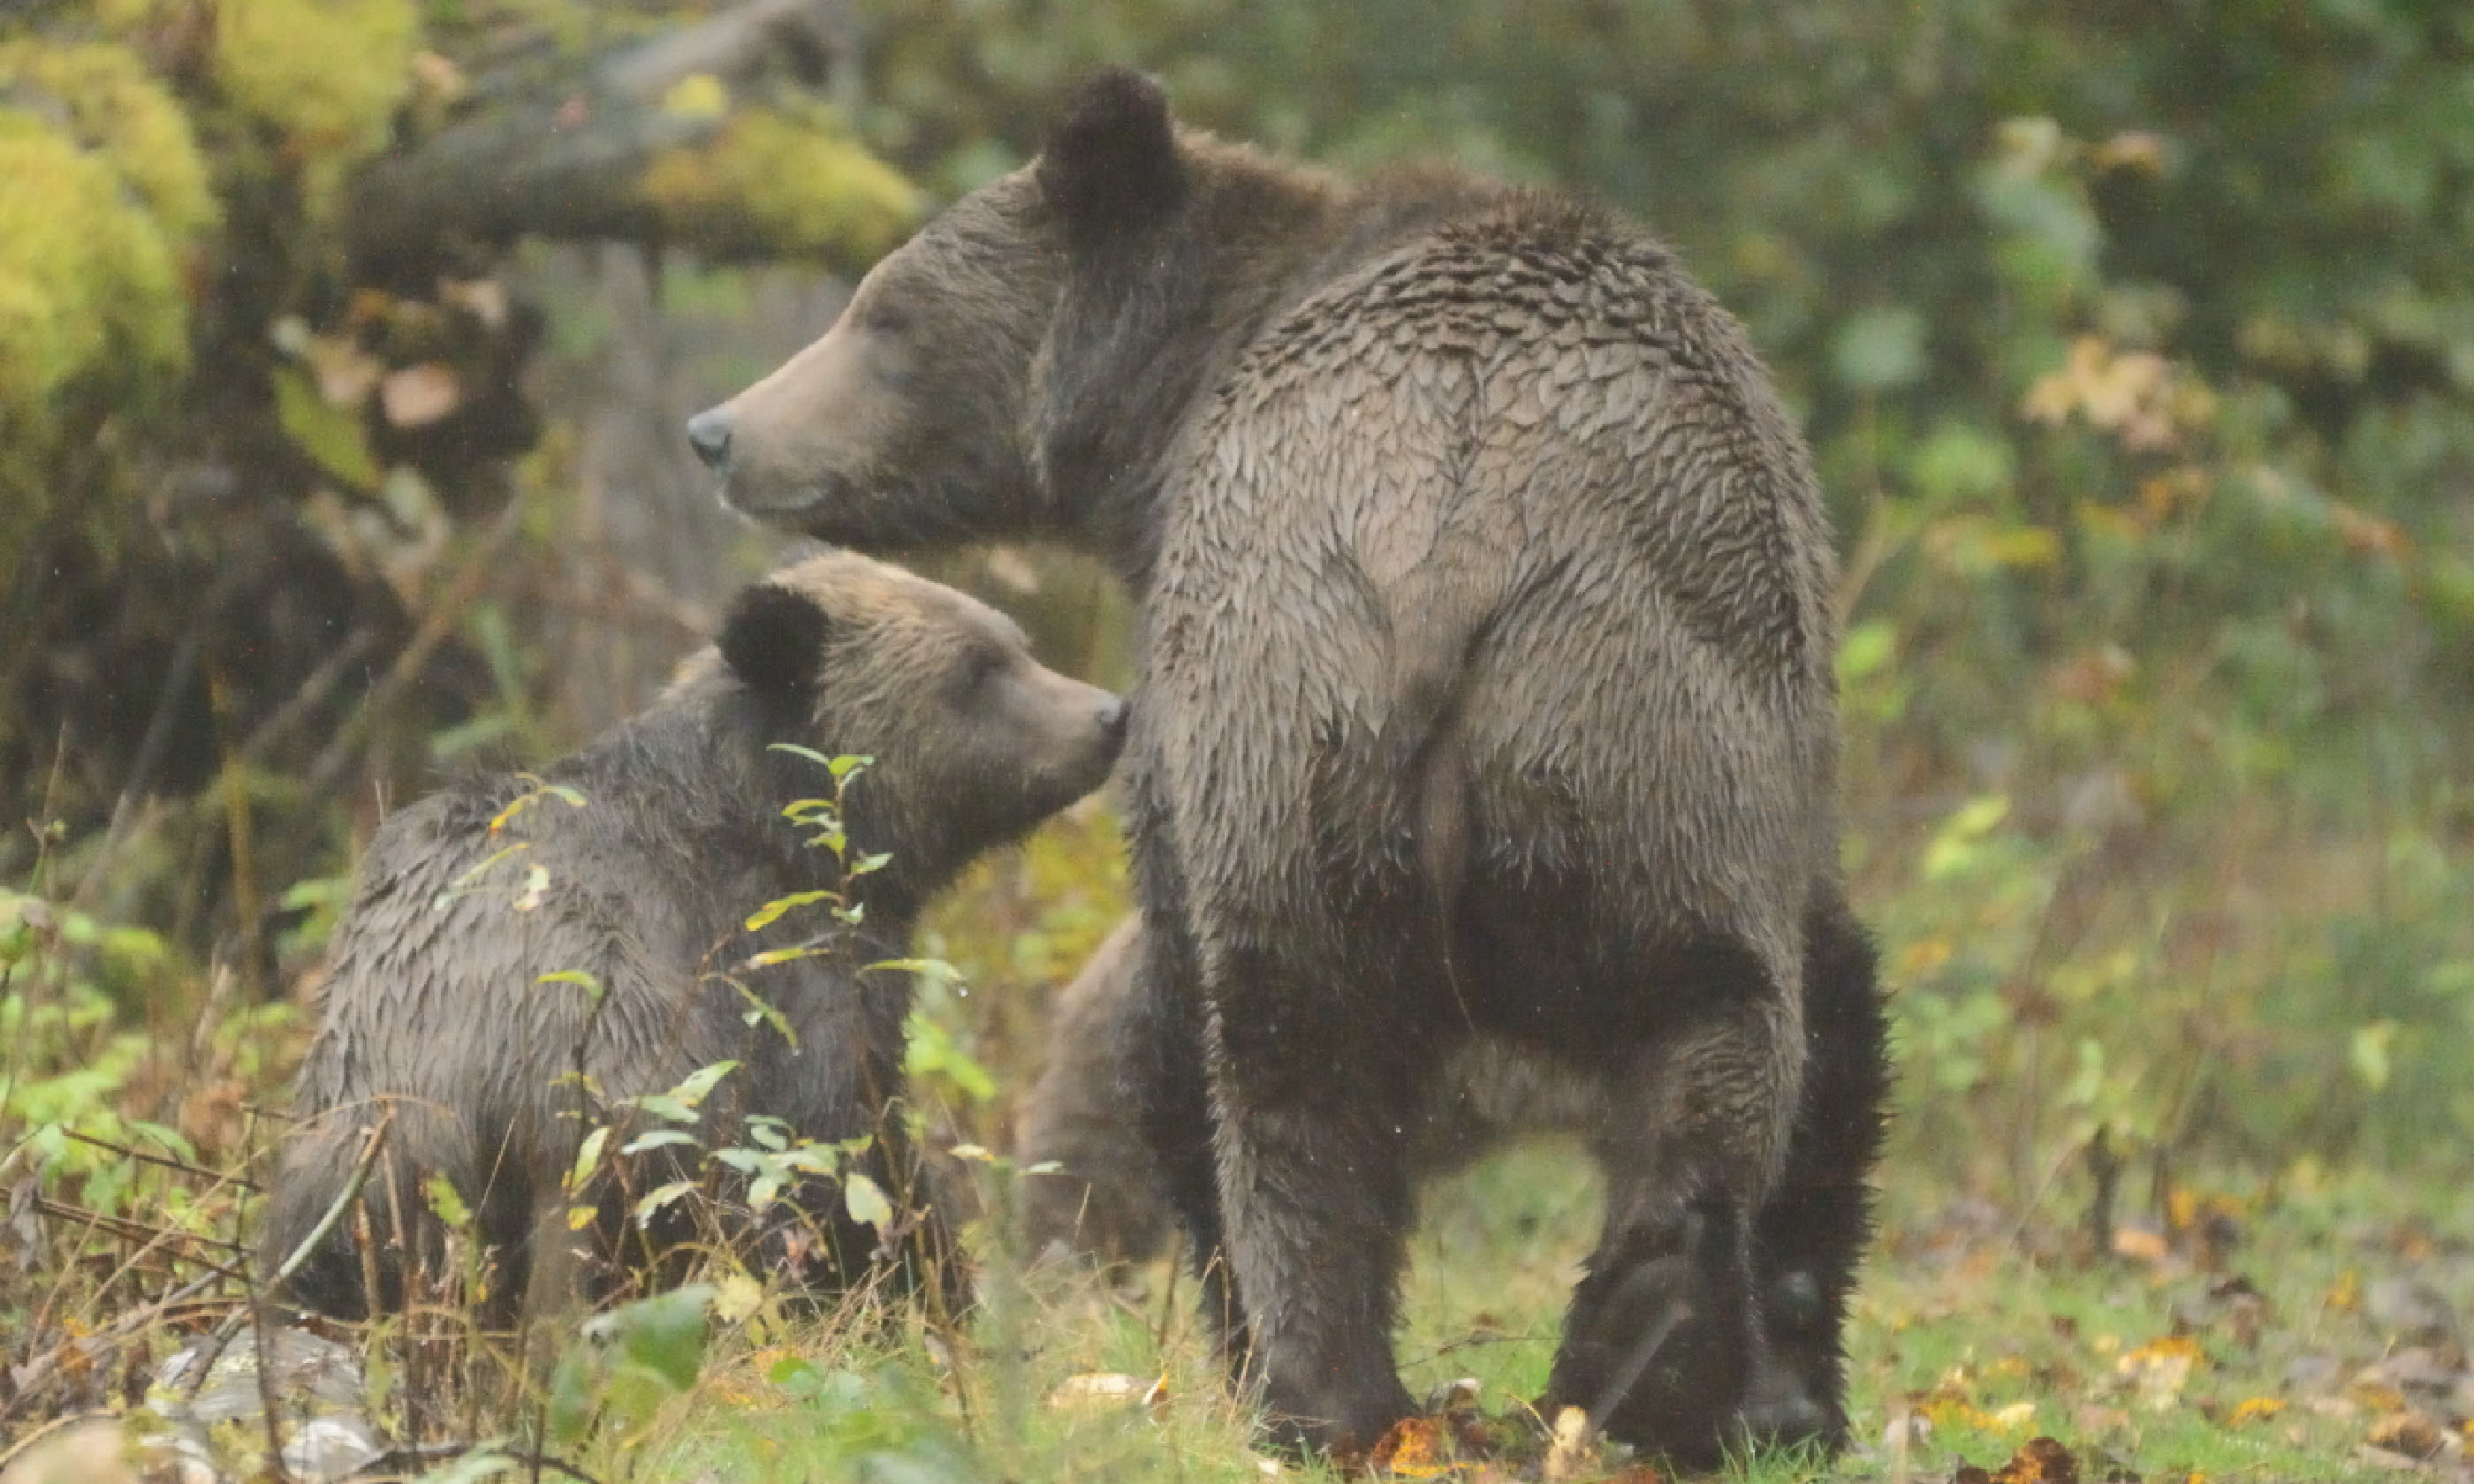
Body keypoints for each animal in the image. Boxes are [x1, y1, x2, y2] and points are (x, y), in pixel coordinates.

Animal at [263, 551, 1133, 1325]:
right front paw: (928, 1289)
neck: (782, 822)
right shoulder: (788, 970)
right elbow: (850, 1141)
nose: (1110, 713)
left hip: (347, 1143)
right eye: (976, 669)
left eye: (1015, 639)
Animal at [687, 69, 1880, 1464]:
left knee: (1291, 1064)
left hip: (1351, 701)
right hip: (1607, 730)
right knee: (1686, 1033)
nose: (717, 431)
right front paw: (1791, 1393)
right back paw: (1606, 1382)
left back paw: (1348, 1391)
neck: (1169, 402)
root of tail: (1451, 533)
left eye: (885, 317)